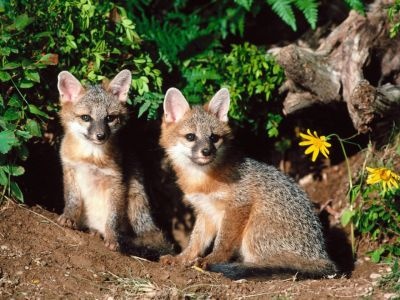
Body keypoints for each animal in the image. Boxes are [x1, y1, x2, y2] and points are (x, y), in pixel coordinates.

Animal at [158, 87, 336, 278]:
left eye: (214, 138)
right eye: (191, 137)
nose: (206, 151)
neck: (202, 180)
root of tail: (320, 254)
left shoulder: (238, 205)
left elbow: (223, 241)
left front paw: (212, 260)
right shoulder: (205, 210)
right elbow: (196, 241)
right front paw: (181, 258)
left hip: (253, 230)